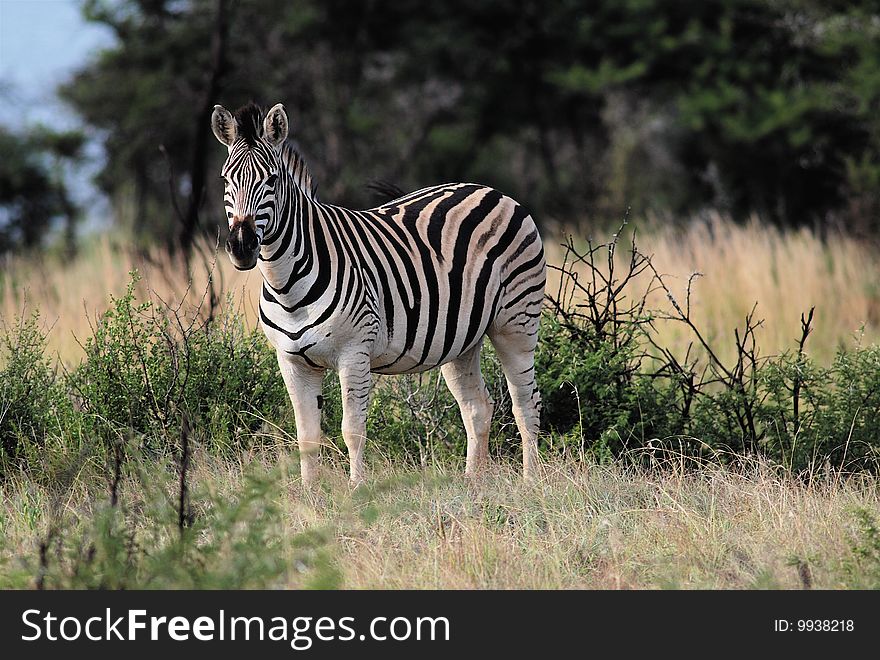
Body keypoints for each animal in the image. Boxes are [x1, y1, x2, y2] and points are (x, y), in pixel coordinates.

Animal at [211, 103, 544, 484]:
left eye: (272, 180)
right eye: (225, 180)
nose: (241, 247)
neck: (287, 286)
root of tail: (490, 190)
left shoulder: (354, 353)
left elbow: (352, 430)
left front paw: (356, 489)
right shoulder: (292, 362)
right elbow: (306, 436)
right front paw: (309, 493)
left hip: (515, 323)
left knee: (526, 403)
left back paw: (531, 482)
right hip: (461, 340)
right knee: (478, 407)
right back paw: (472, 483)